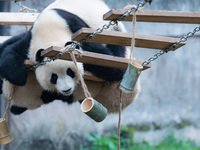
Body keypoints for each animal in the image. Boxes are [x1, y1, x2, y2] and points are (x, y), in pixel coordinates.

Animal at [0, 0, 140, 114]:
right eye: (54, 78)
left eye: (70, 72)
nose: (67, 90)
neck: (50, 34)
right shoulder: (30, 40)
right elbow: (11, 52)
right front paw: (19, 76)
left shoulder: (78, 30)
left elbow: (103, 59)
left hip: (113, 32)